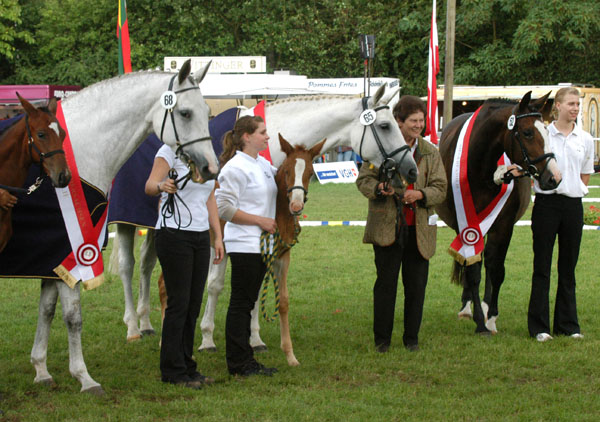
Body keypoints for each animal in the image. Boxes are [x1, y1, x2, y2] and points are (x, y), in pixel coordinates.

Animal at [436, 91, 564, 332]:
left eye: (546, 130)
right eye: (527, 133)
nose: (554, 177)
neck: (480, 170)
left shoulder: (503, 227)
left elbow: (496, 270)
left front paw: (491, 317)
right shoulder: (465, 225)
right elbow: (473, 270)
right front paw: (479, 321)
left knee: (489, 261)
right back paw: (467, 307)